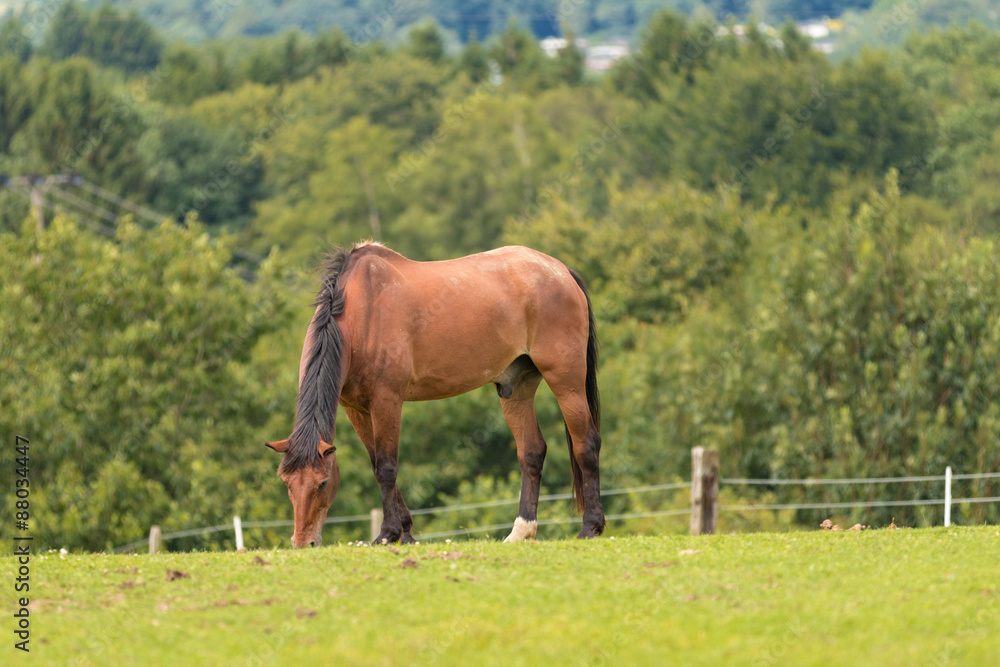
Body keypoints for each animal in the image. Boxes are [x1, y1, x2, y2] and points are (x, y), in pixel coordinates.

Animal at [266, 241, 605, 546]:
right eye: (287, 483)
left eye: (323, 483)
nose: (303, 542)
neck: (363, 315)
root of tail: (561, 271)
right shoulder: (356, 408)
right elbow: (376, 463)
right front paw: (406, 533)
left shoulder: (386, 400)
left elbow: (387, 467)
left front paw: (388, 534)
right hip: (517, 388)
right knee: (532, 452)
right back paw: (521, 531)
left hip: (566, 381)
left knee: (586, 445)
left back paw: (591, 527)